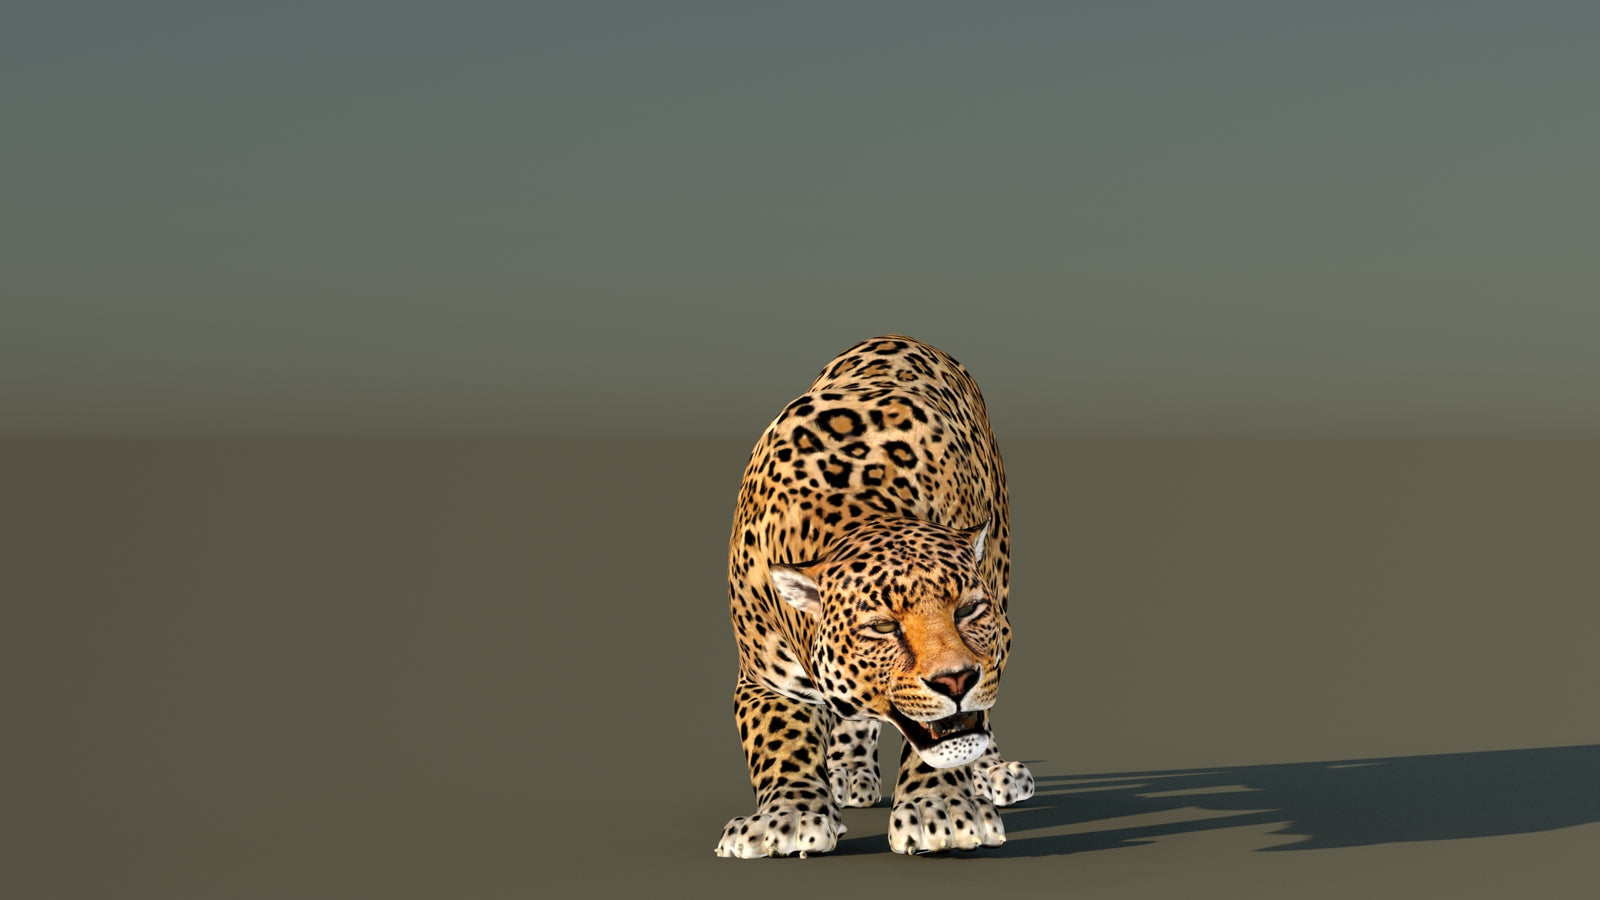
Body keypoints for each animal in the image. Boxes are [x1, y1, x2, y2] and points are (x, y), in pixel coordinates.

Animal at [715, 335, 1034, 859]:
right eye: (883, 626)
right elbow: (780, 742)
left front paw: (938, 810)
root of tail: (902, 336)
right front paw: (789, 817)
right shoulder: (766, 679)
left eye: (968, 610)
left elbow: (944, 742)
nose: (956, 681)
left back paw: (992, 772)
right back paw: (847, 770)